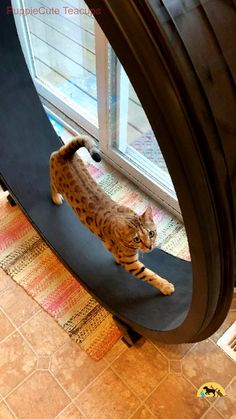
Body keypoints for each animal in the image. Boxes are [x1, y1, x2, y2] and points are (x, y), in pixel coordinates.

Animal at [49, 136, 175, 296]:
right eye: (137, 239)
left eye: (151, 233)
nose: (150, 246)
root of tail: (65, 154)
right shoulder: (131, 264)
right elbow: (149, 274)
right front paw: (165, 286)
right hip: (56, 182)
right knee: (52, 184)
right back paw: (55, 198)